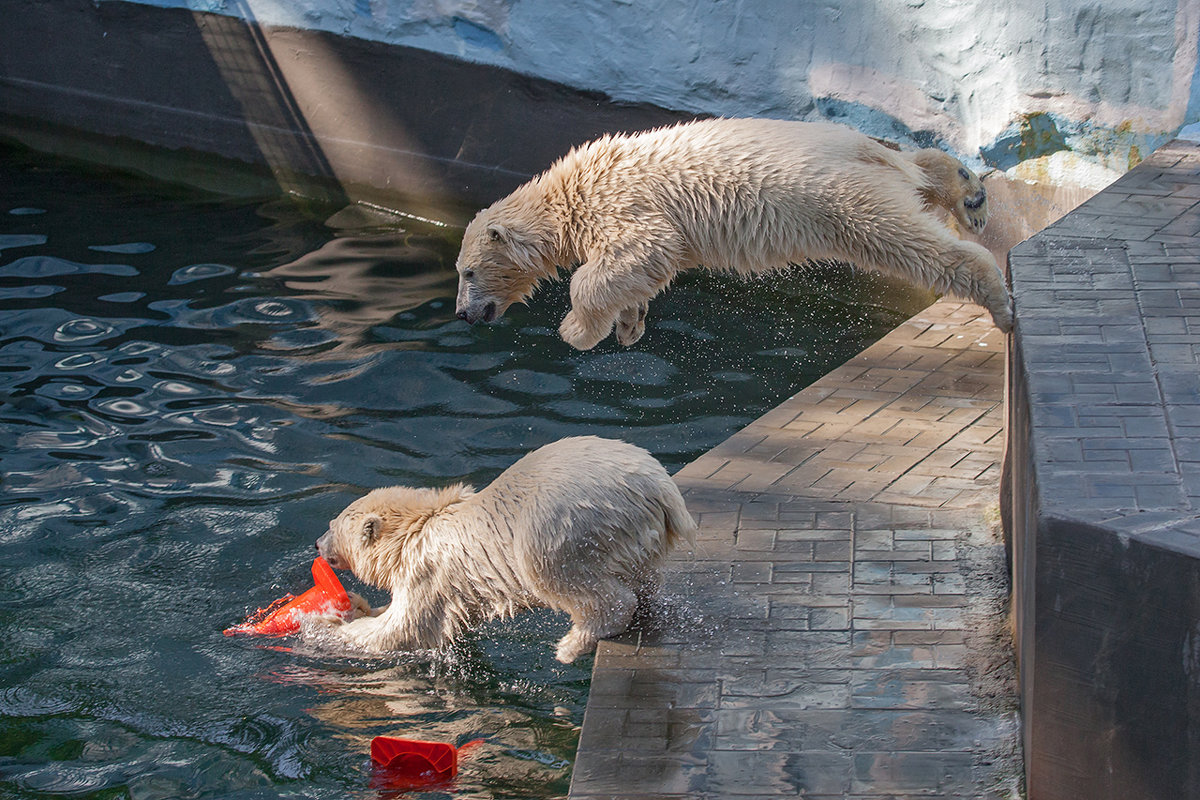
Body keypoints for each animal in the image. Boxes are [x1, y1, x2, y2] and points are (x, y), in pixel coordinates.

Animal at [453, 116, 1008, 350]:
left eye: (468, 271)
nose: (461, 314)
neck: (570, 191)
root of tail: (867, 152)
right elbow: (641, 269)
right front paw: (630, 323)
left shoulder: (622, 204)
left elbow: (641, 248)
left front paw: (576, 330)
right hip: (870, 171)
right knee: (920, 174)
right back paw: (969, 194)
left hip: (840, 198)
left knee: (904, 239)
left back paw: (998, 299)